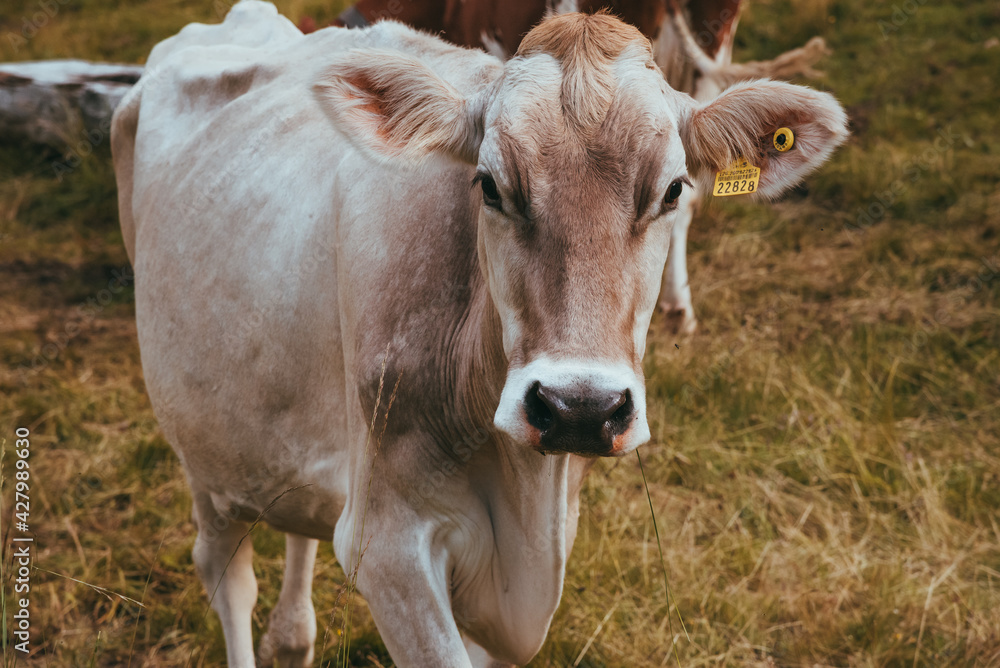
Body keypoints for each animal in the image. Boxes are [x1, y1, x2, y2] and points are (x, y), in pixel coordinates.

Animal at [111, 2, 844, 664]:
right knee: (226, 573)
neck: (526, 494)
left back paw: (291, 637)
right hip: (201, 442)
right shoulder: (391, 547)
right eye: (490, 185)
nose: (580, 409)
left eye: (673, 190)